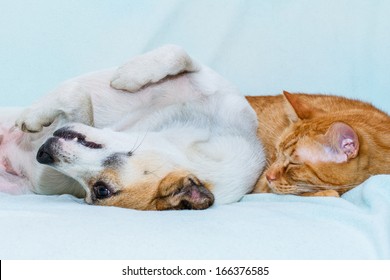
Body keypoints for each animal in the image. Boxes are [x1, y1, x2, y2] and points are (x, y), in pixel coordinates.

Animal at [0, 44, 266, 210]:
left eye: (100, 190)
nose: (43, 154)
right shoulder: (206, 77)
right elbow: (178, 53)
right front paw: (131, 75)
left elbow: (78, 97)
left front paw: (33, 117)